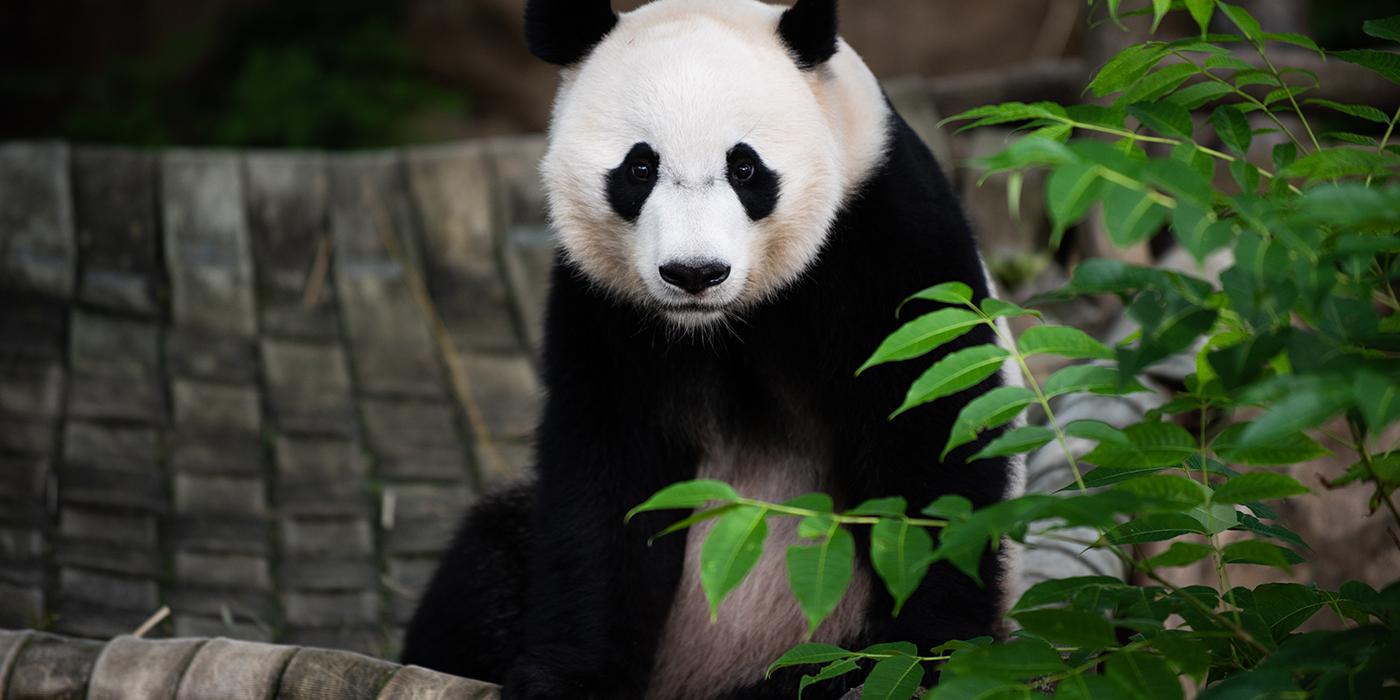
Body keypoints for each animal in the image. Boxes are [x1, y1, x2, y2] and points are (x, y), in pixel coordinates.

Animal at [400, 0, 1024, 697]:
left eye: (745, 168)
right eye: (640, 167)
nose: (694, 272)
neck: (726, 321)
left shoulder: (884, 235)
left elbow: (930, 434)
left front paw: (918, 654)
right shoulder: (605, 305)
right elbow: (606, 476)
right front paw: (572, 677)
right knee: (484, 567)